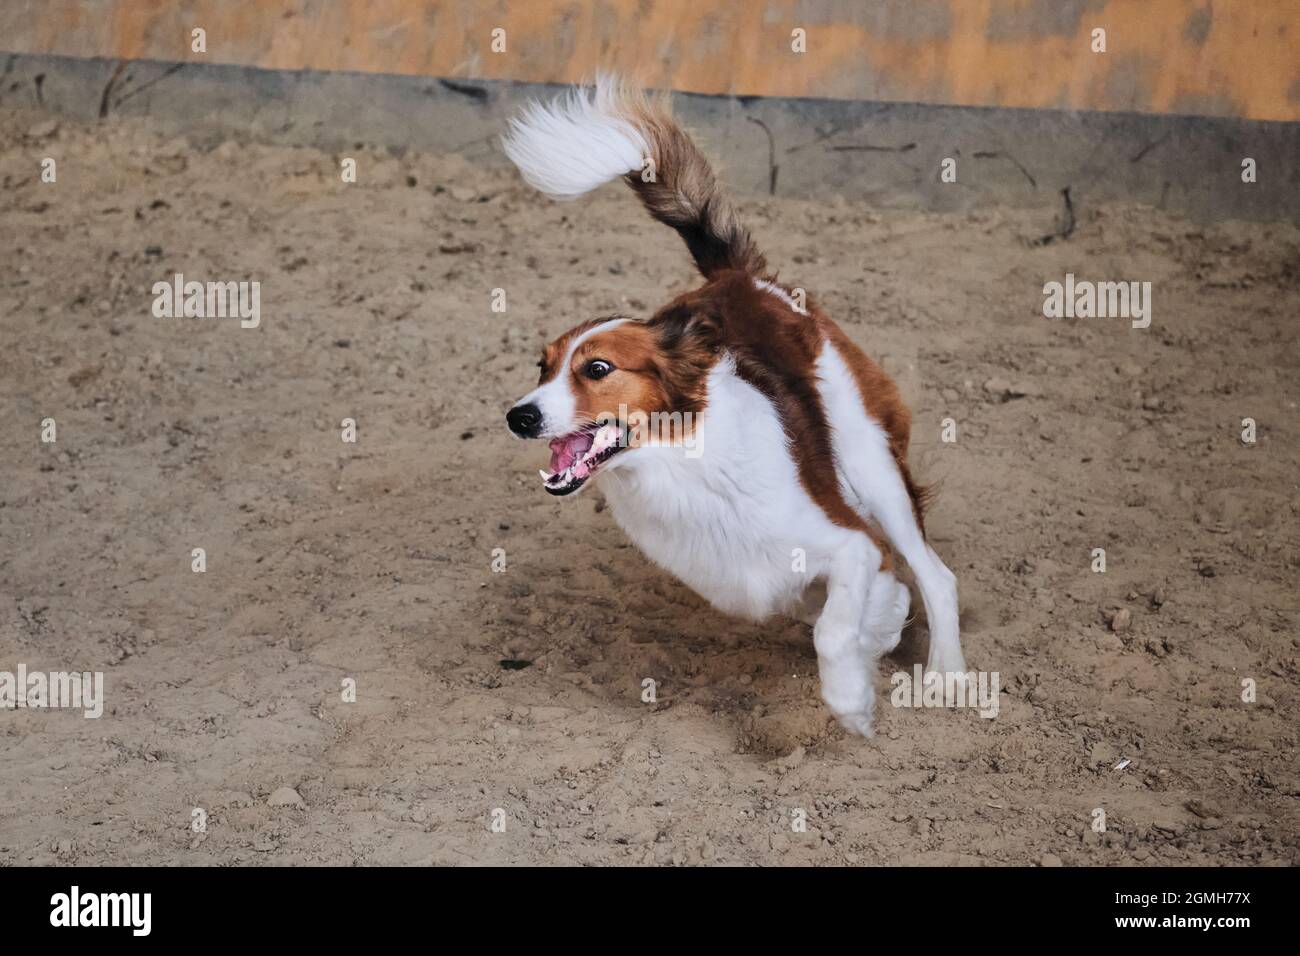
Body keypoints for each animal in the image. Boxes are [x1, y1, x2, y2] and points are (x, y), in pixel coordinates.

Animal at [501, 78, 961, 738]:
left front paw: (853, 692)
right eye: (542, 368)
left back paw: (947, 672)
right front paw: (875, 637)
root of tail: (740, 279)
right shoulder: (767, 577)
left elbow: (839, 624)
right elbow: (825, 613)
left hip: (871, 463)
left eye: (597, 369)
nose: (520, 416)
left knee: (935, 574)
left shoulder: (851, 541)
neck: (683, 467)